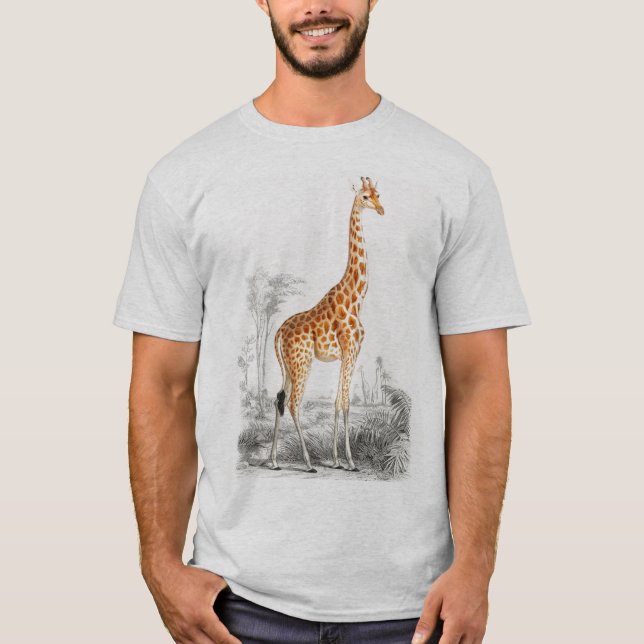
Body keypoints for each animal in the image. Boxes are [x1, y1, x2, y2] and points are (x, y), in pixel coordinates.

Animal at [269, 176, 384, 473]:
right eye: (364, 197)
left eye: (378, 194)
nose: (381, 210)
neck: (356, 297)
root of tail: (277, 334)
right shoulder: (351, 350)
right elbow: (345, 403)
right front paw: (350, 461)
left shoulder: (346, 354)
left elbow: (336, 402)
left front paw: (336, 460)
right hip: (302, 363)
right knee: (294, 403)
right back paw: (308, 462)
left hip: (289, 366)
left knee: (279, 399)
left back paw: (273, 461)